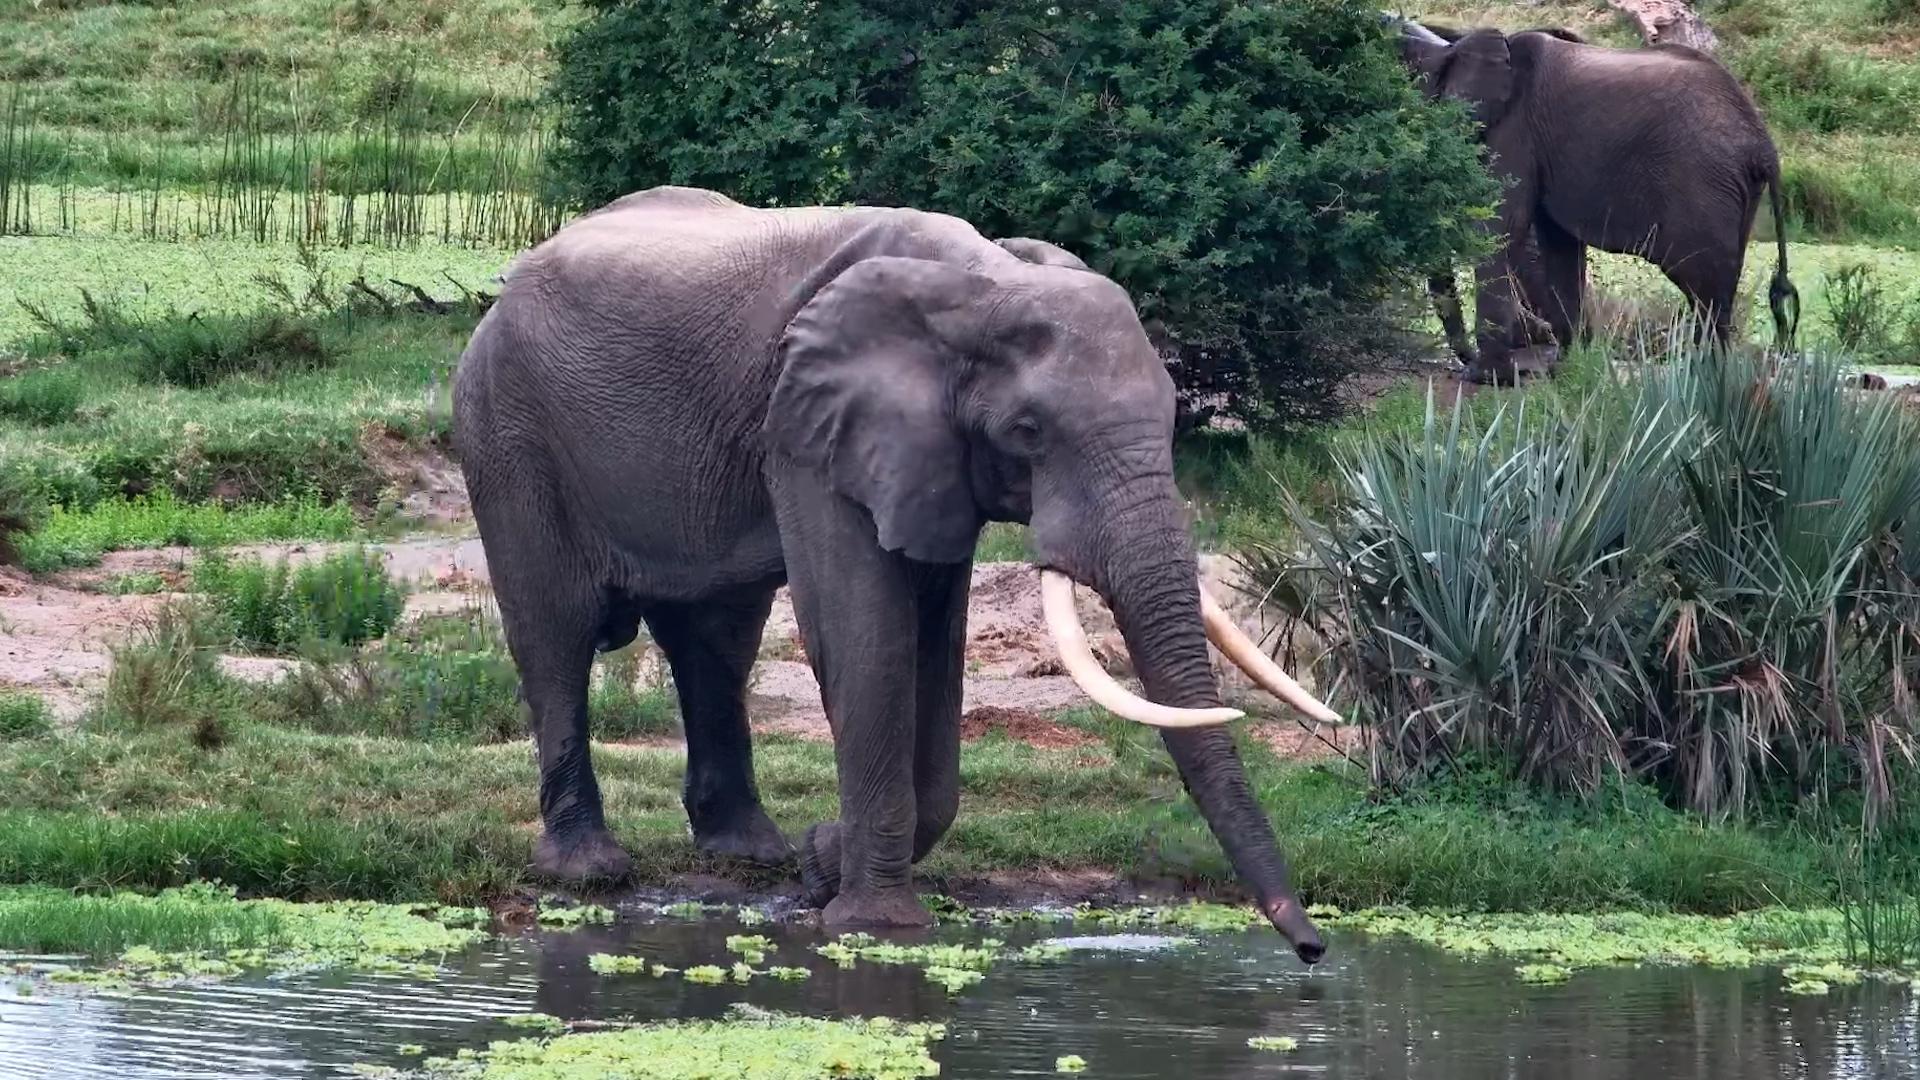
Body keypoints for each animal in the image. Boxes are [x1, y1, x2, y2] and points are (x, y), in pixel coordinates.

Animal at [451, 184, 1339, 963]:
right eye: (1029, 430)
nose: (1312, 951)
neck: (983, 282)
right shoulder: (807, 427)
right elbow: (864, 631)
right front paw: (875, 924)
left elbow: (933, 640)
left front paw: (820, 865)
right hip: (506, 429)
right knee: (556, 634)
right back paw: (589, 871)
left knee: (717, 642)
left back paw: (756, 854)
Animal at [1386, 14, 1801, 382]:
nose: (1464, 361)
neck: (1450, 45)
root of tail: (1765, 148)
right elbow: (1558, 245)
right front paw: (1566, 370)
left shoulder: (1514, 130)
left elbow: (1498, 228)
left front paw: (1486, 377)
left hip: (1703, 187)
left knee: (1704, 287)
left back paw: (1703, 376)